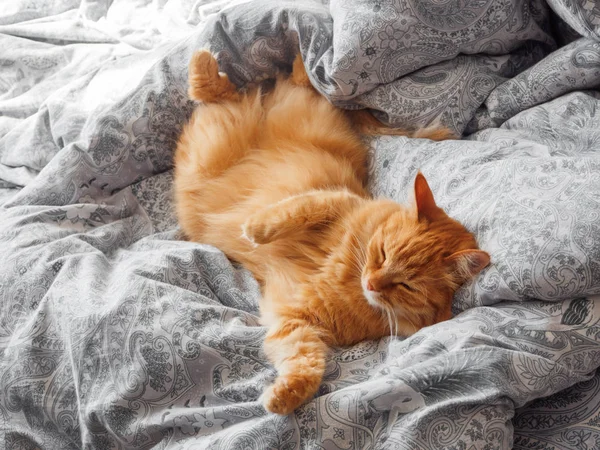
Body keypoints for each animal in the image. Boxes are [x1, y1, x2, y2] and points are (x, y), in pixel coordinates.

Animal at [175, 50, 492, 414]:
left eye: (407, 286)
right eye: (382, 253)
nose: (372, 283)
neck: (351, 275)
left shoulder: (297, 321)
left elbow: (305, 361)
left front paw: (284, 398)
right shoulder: (333, 201)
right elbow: (290, 212)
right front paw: (255, 229)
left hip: (215, 144)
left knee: (228, 97)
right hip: (233, 139)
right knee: (236, 92)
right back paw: (232, 60)